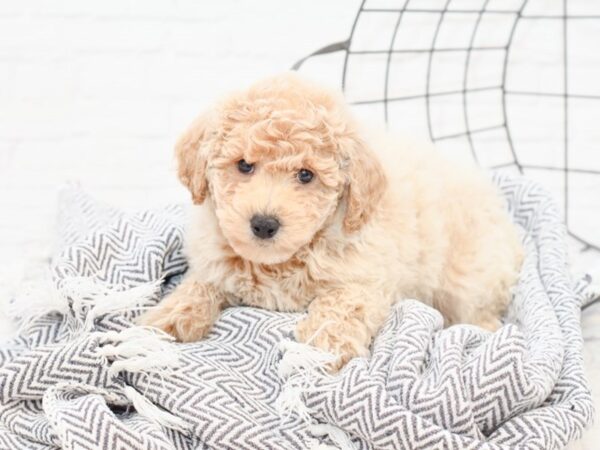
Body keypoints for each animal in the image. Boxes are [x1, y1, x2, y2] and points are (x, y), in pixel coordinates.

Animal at [138, 73, 524, 370]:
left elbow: (342, 304)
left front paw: (325, 345)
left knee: (478, 308)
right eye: (244, 165)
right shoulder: (216, 257)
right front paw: (166, 318)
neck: (282, 261)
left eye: (306, 175)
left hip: (467, 278)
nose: (263, 224)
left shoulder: (364, 278)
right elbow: (201, 284)